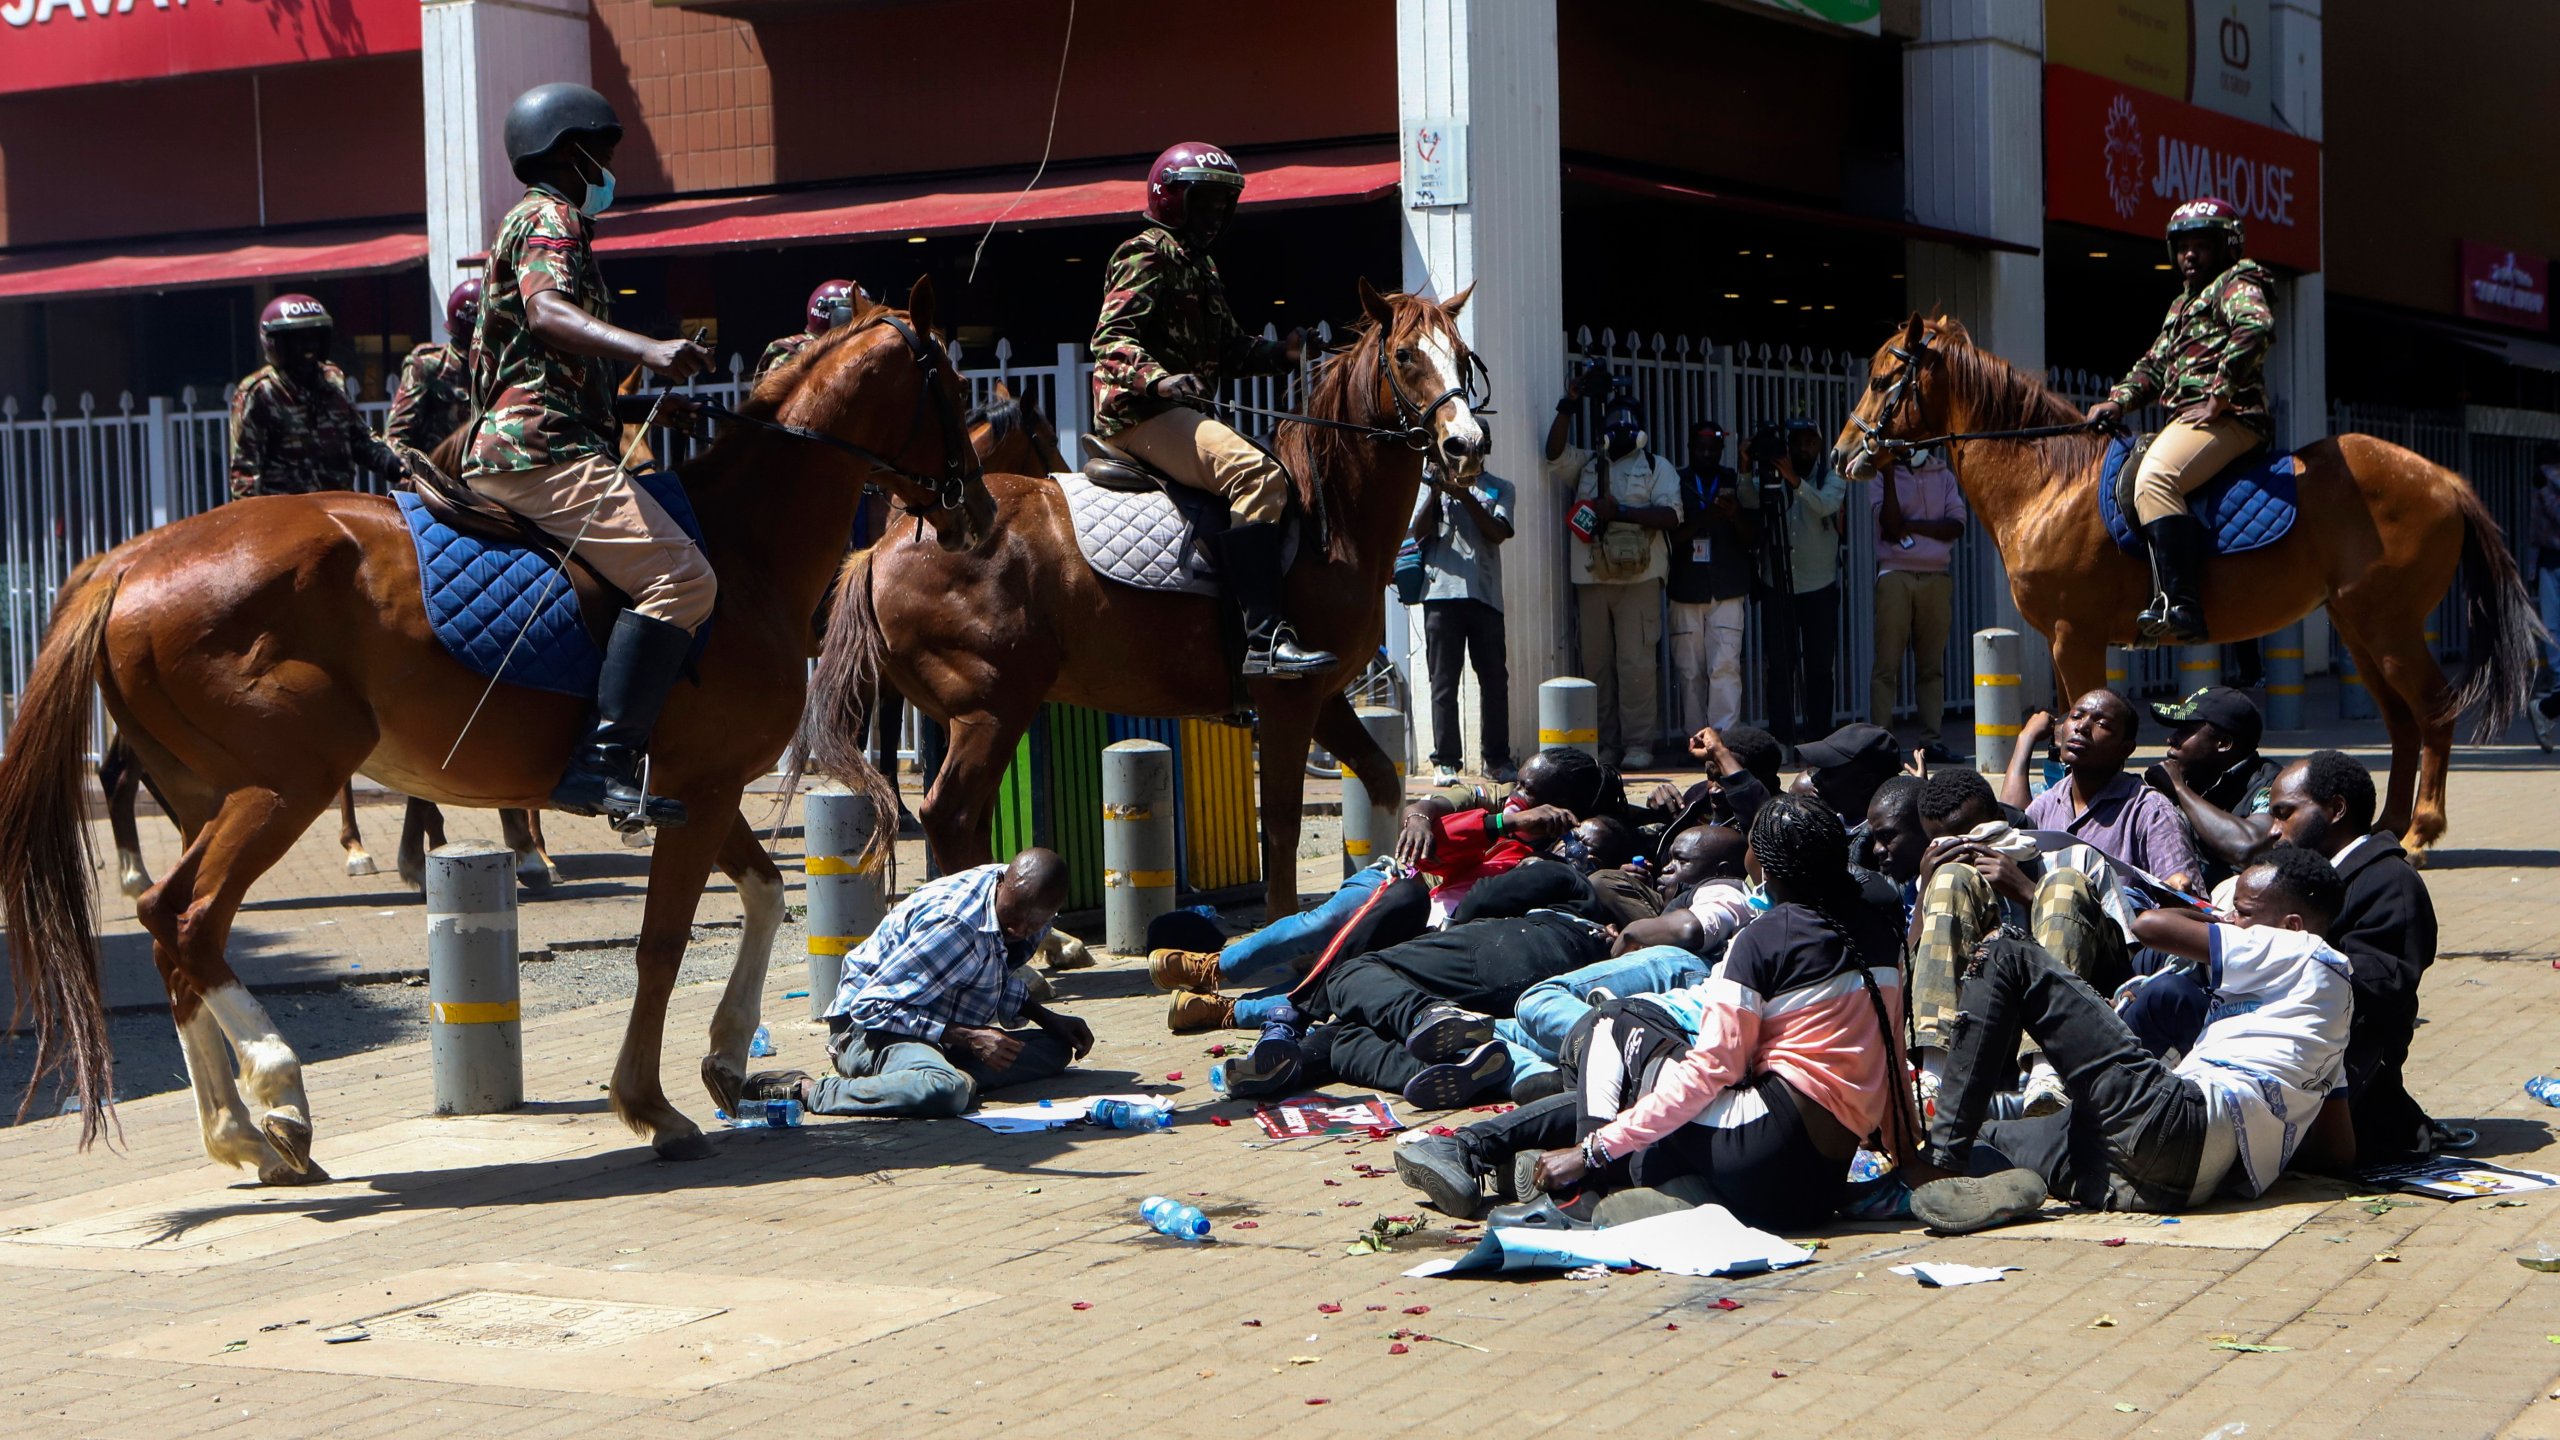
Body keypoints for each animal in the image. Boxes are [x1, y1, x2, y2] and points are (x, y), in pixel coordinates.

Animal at [0, 278, 988, 1168]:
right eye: (947, 377)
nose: (974, 507)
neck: (741, 547)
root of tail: (132, 557)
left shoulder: (694, 790)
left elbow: (765, 895)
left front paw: (722, 1057)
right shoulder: (700, 792)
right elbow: (663, 943)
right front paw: (649, 1104)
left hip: (208, 795)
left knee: (170, 933)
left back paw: (239, 1132)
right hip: (287, 784)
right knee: (190, 918)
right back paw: (278, 1094)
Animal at [793, 280, 1484, 907]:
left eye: (1461, 354)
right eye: (1405, 356)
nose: (1466, 445)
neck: (1323, 520)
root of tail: (880, 550)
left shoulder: (1327, 695)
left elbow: (1383, 783)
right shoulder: (1287, 698)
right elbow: (1283, 827)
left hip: (976, 716)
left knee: (967, 821)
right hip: (993, 709)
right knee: (952, 817)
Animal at [1832, 313, 2529, 850]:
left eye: (1884, 378)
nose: (1842, 454)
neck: (2049, 481)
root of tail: (2444, 479)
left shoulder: (2074, 635)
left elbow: (2081, 717)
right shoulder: (2062, 639)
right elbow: (2066, 726)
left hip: (2388, 627)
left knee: (2433, 712)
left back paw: (2420, 833)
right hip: (2360, 630)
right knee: (2403, 723)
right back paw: (2383, 826)